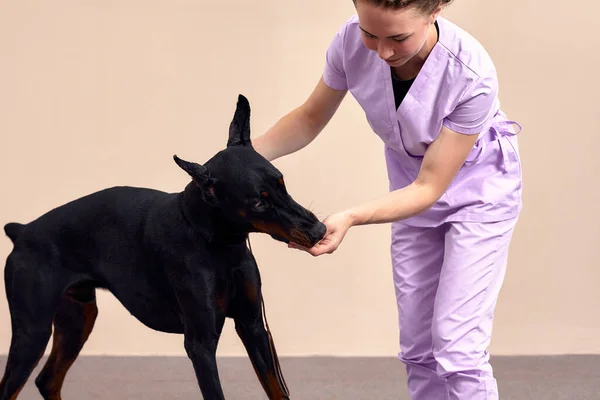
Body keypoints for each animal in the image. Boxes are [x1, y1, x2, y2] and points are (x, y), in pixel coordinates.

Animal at [1, 94, 328, 400]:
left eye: (281, 183)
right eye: (258, 202)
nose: (319, 230)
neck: (218, 244)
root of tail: (24, 231)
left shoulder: (254, 325)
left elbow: (277, 389)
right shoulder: (200, 343)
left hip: (78, 318)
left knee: (47, 380)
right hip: (33, 330)